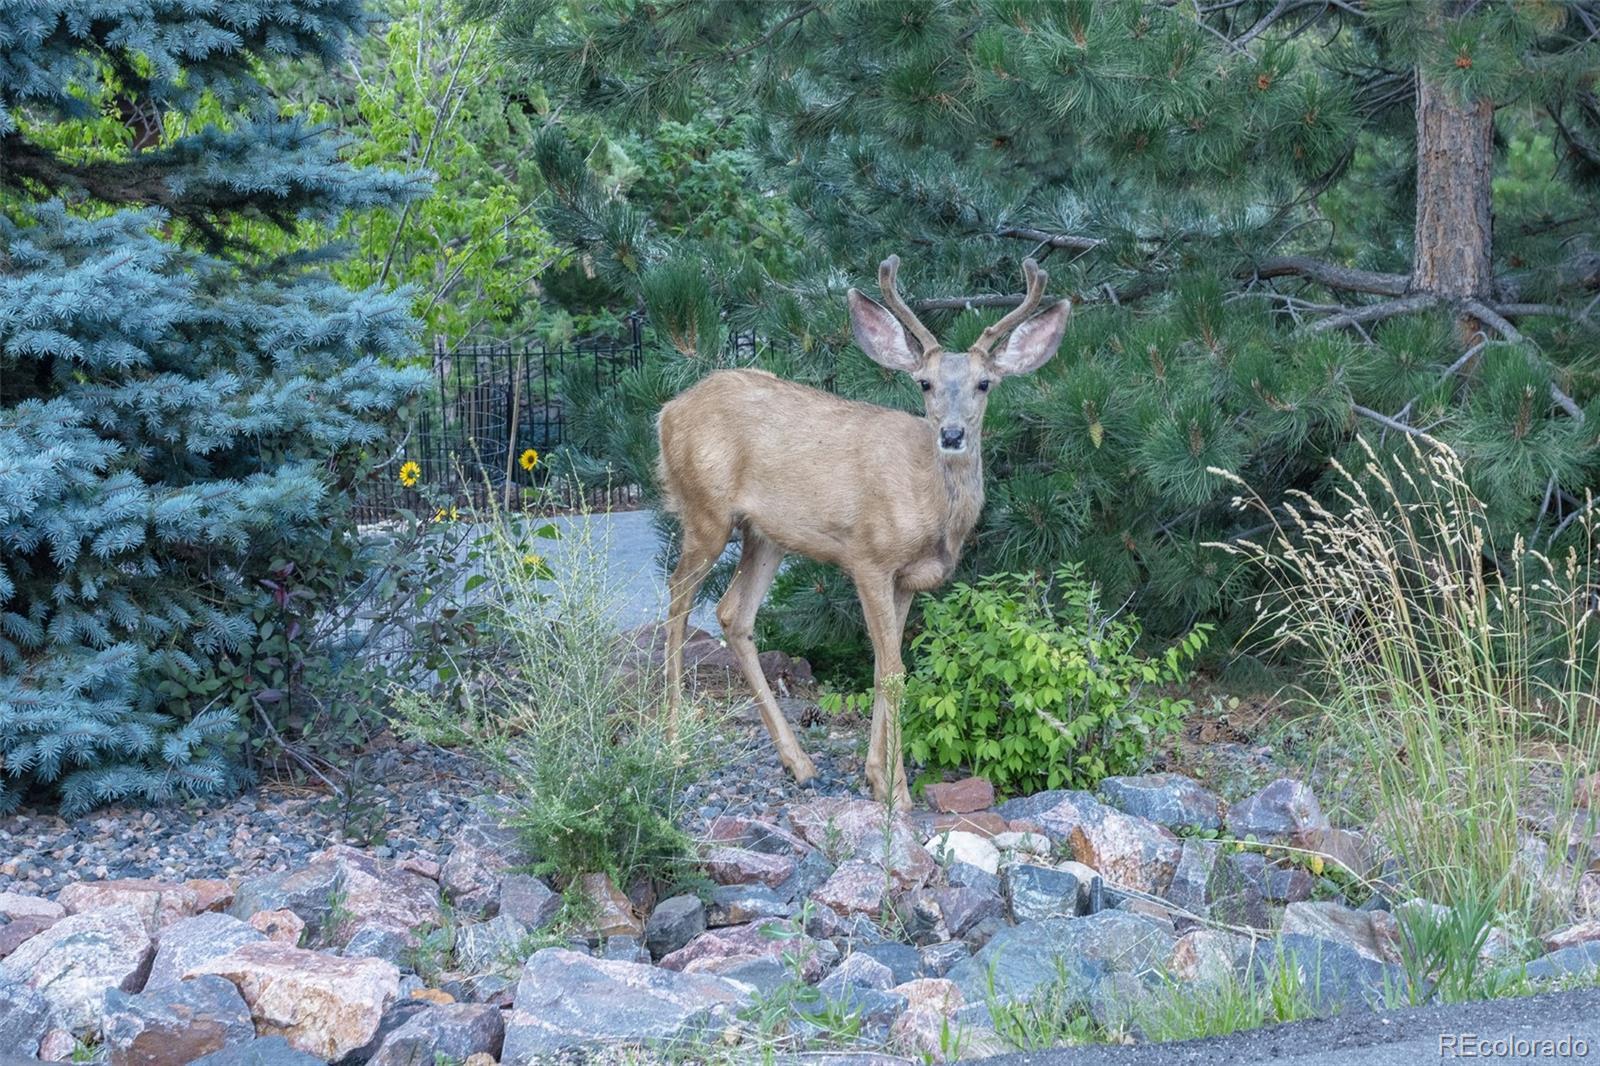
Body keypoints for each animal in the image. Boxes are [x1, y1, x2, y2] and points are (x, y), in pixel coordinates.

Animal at [656, 257, 1068, 800]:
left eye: (984, 383)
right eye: (924, 383)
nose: (952, 434)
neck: (931, 505)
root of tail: (666, 412)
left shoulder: (908, 578)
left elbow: (880, 667)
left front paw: (875, 776)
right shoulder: (868, 557)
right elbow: (893, 671)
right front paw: (897, 792)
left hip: (765, 535)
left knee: (732, 614)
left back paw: (799, 763)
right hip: (704, 511)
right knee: (677, 602)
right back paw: (673, 743)